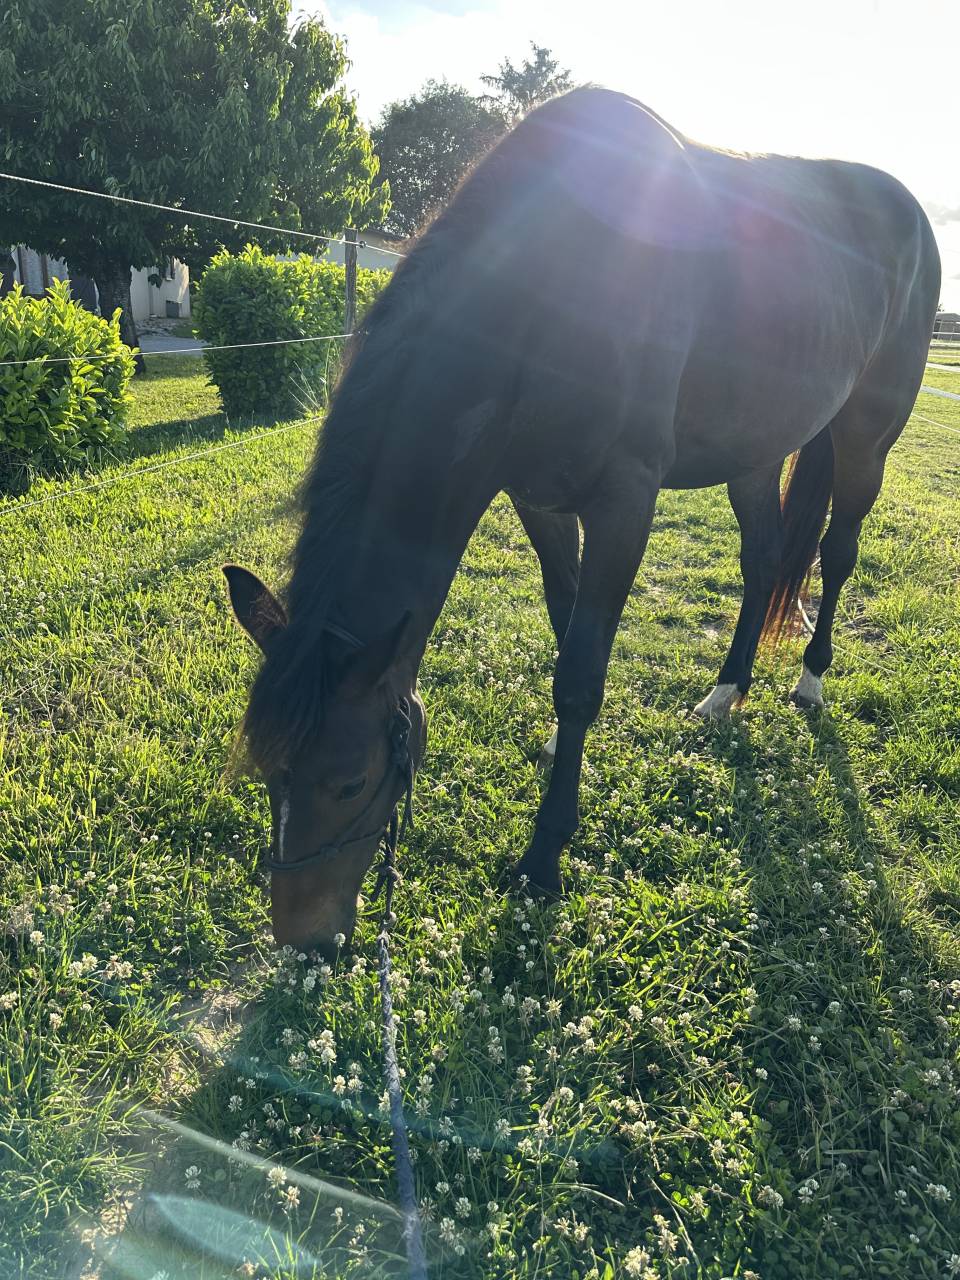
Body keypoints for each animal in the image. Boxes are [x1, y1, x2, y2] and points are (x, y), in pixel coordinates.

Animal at [223, 87, 940, 952]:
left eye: (351, 779)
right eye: (270, 773)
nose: (309, 940)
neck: (550, 294)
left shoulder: (625, 503)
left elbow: (580, 679)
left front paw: (543, 858)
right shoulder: (538, 500)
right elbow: (569, 633)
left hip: (866, 439)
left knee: (837, 555)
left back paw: (810, 680)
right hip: (755, 452)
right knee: (764, 561)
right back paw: (726, 692)